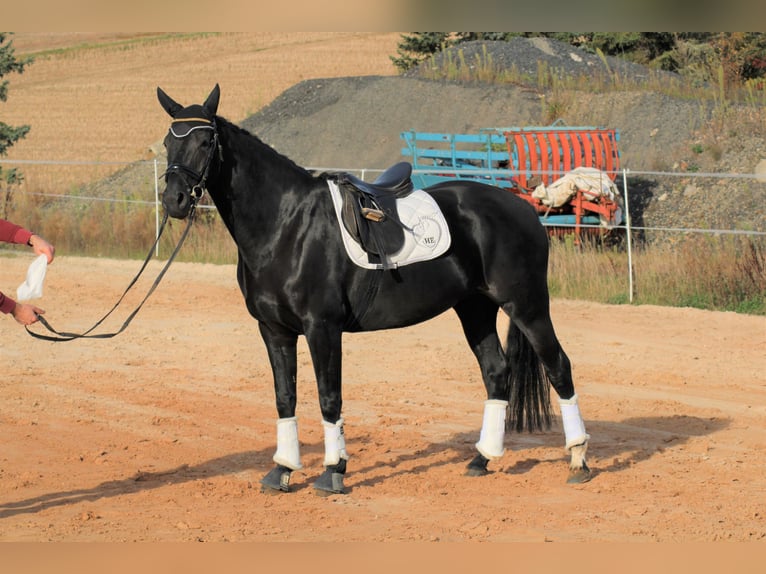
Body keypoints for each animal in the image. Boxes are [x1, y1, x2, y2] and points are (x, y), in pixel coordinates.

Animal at [154, 84, 588, 496]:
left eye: (206, 142)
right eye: (167, 143)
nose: (174, 199)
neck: (286, 224)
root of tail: (523, 208)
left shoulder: (322, 328)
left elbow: (329, 397)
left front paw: (333, 472)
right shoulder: (274, 330)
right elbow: (284, 397)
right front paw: (283, 470)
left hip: (527, 305)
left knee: (559, 366)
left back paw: (578, 461)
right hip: (475, 308)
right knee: (497, 372)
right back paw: (482, 458)